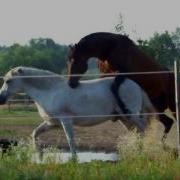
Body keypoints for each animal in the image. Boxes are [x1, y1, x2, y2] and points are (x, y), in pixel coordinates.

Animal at [0, 67, 156, 157]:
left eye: (8, 81)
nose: (1, 98)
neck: (51, 91)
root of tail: (136, 85)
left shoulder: (66, 121)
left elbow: (71, 141)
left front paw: (74, 160)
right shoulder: (51, 123)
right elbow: (35, 133)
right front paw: (38, 154)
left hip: (132, 115)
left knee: (144, 129)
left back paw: (145, 151)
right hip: (125, 118)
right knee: (138, 132)